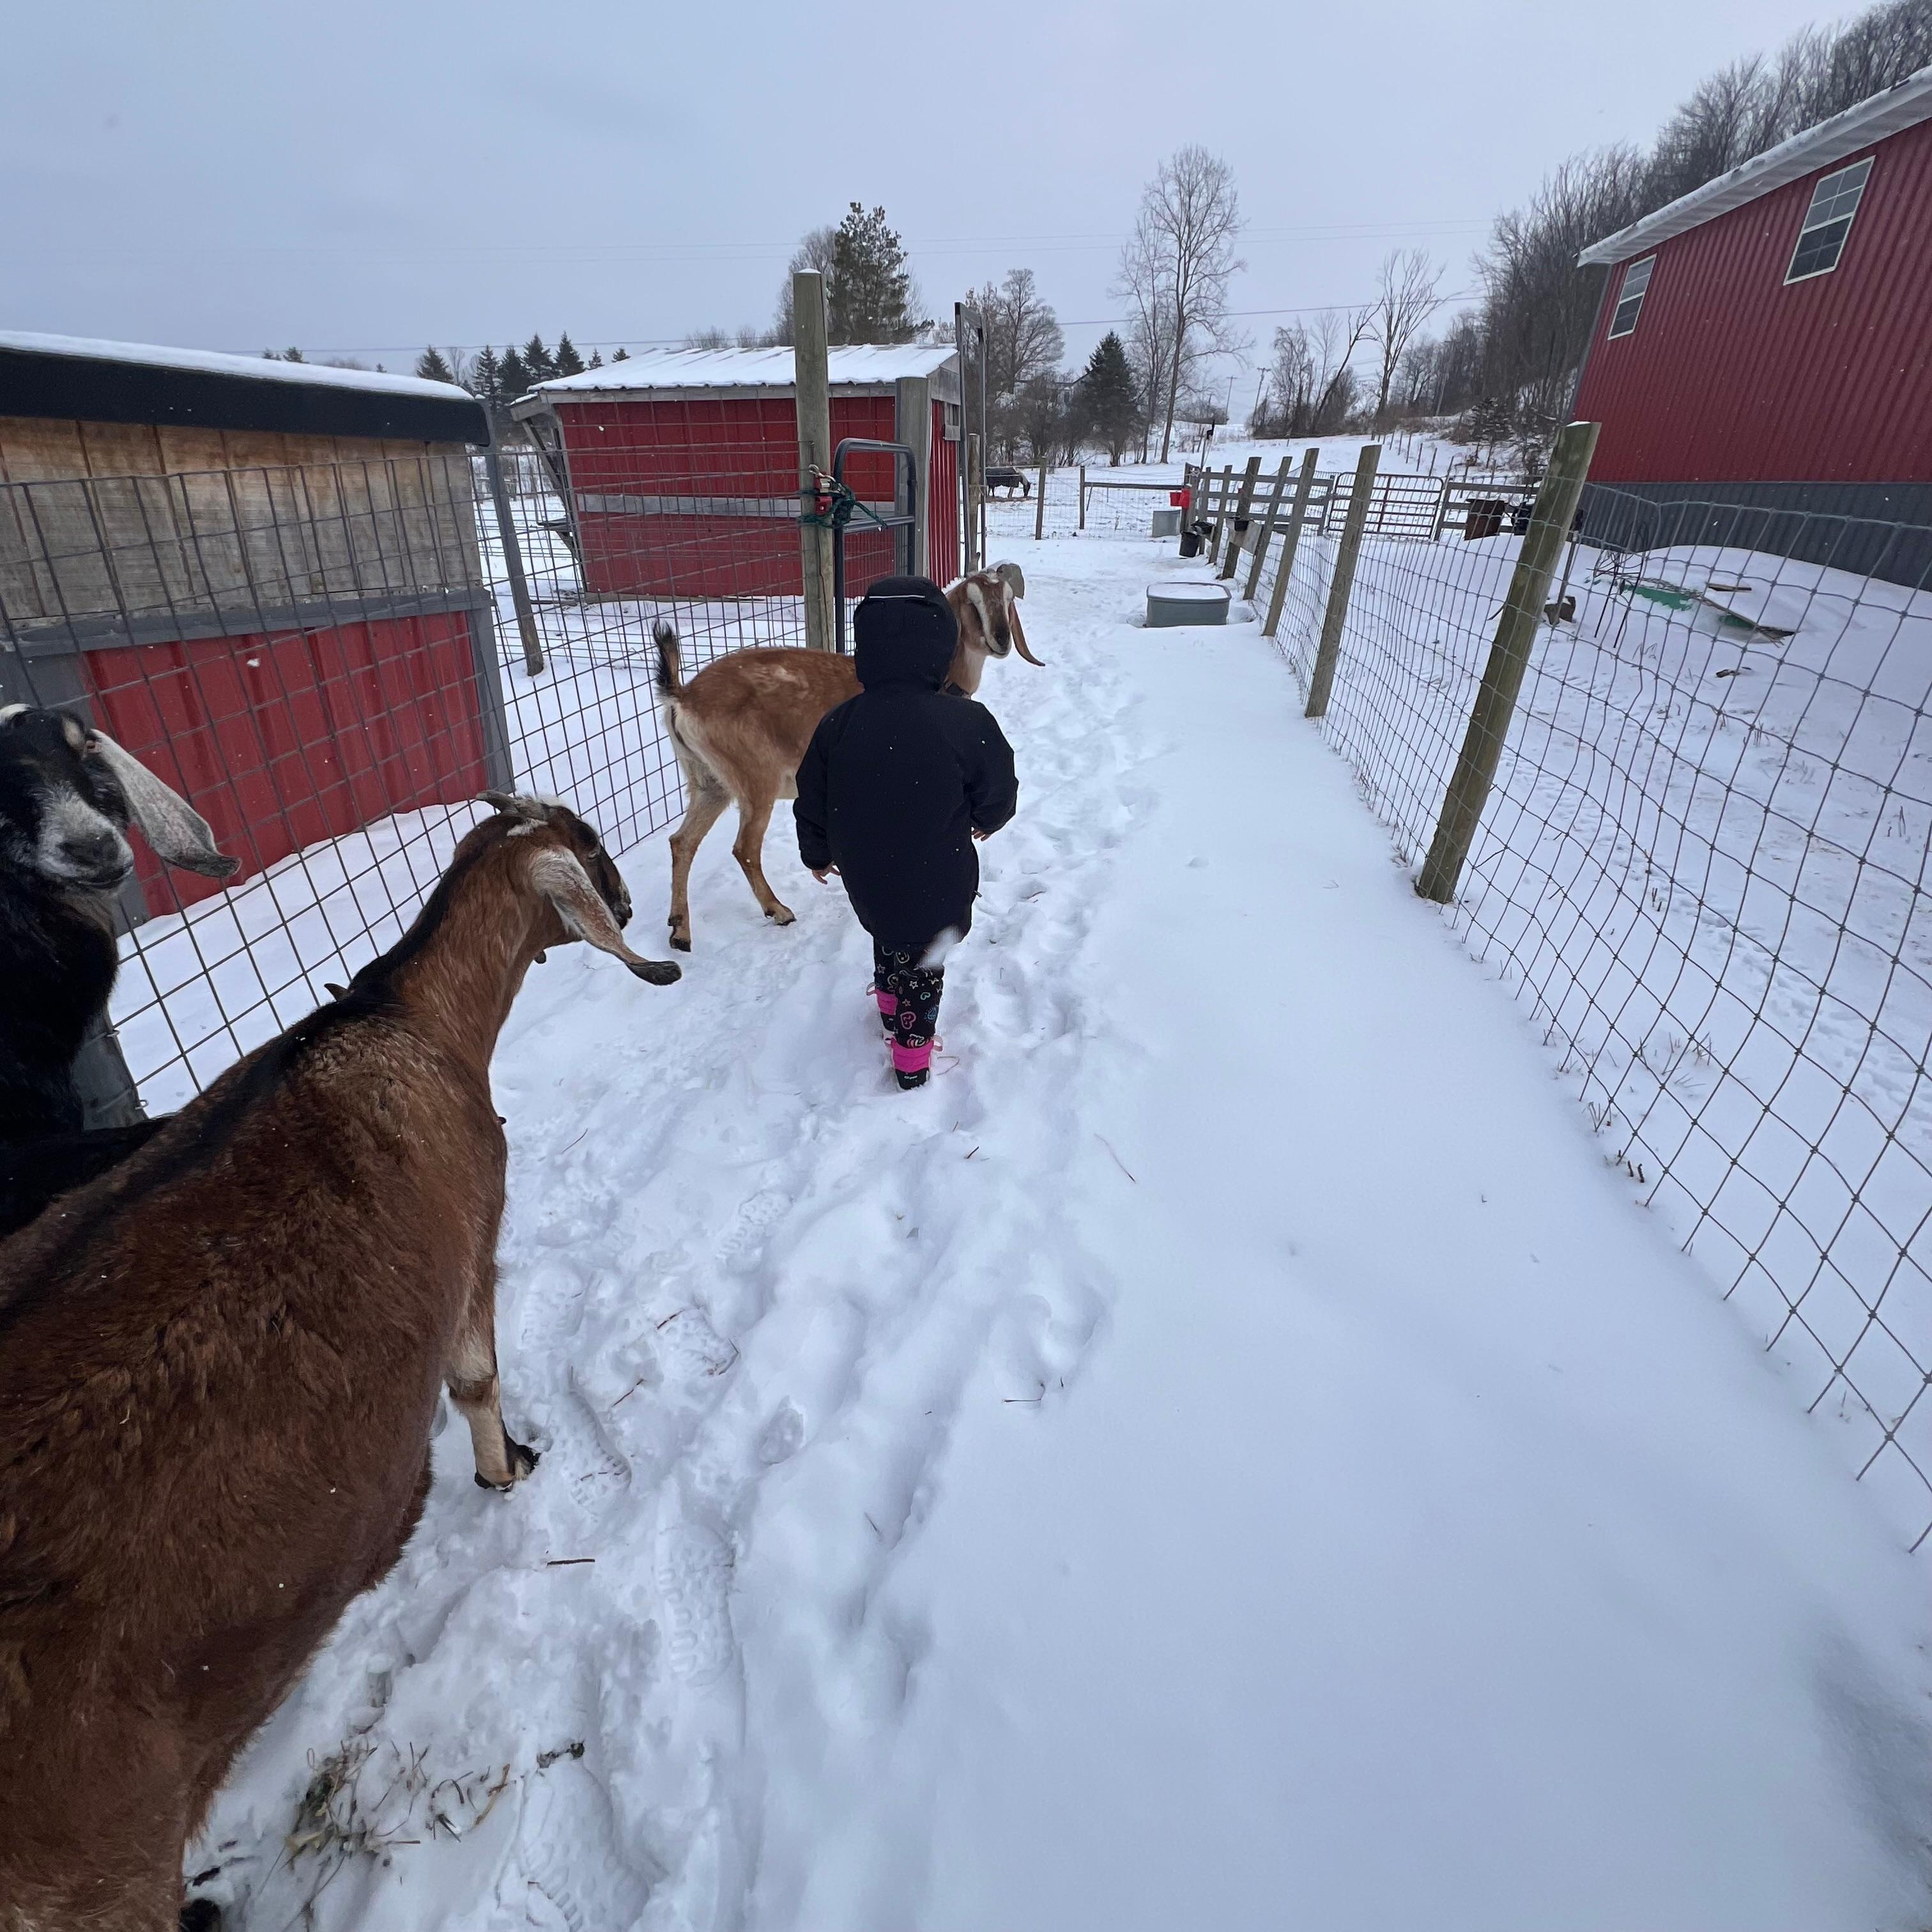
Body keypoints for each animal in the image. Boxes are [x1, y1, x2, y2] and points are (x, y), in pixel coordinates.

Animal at [0, 793, 678, 1931]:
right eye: (591, 850)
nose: (632, 906)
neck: (406, 1022)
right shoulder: (475, 1245)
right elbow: (478, 1382)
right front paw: (508, 1469)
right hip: (89, 1868)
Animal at [655, 563, 1041, 949]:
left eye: (1007, 599)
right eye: (972, 604)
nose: (1002, 640)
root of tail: (683, 697)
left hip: (710, 783)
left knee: (682, 842)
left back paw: (680, 930)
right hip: (755, 780)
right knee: (745, 849)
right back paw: (778, 911)